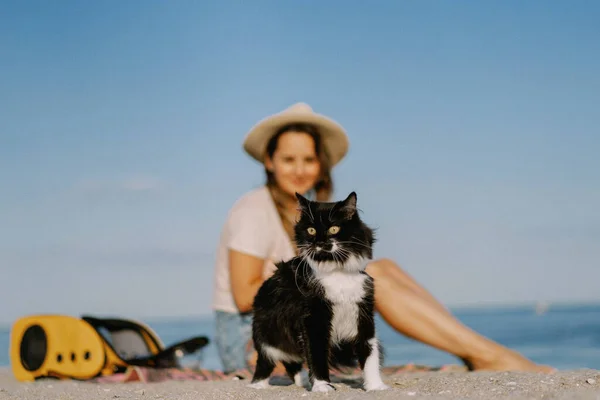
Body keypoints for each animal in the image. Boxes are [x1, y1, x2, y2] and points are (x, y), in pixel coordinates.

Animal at [247, 192, 390, 392]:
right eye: (311, 231)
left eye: (334, 229)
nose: (320, 242)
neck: (337, 272)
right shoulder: (313, 319)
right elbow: (317, 355)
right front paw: (322, 386)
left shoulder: (364, 313)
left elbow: (370, 354)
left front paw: (375, 386)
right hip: (268, 337)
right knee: (266, 362)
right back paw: (259, 385)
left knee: (293, 363)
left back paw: (303, 382)